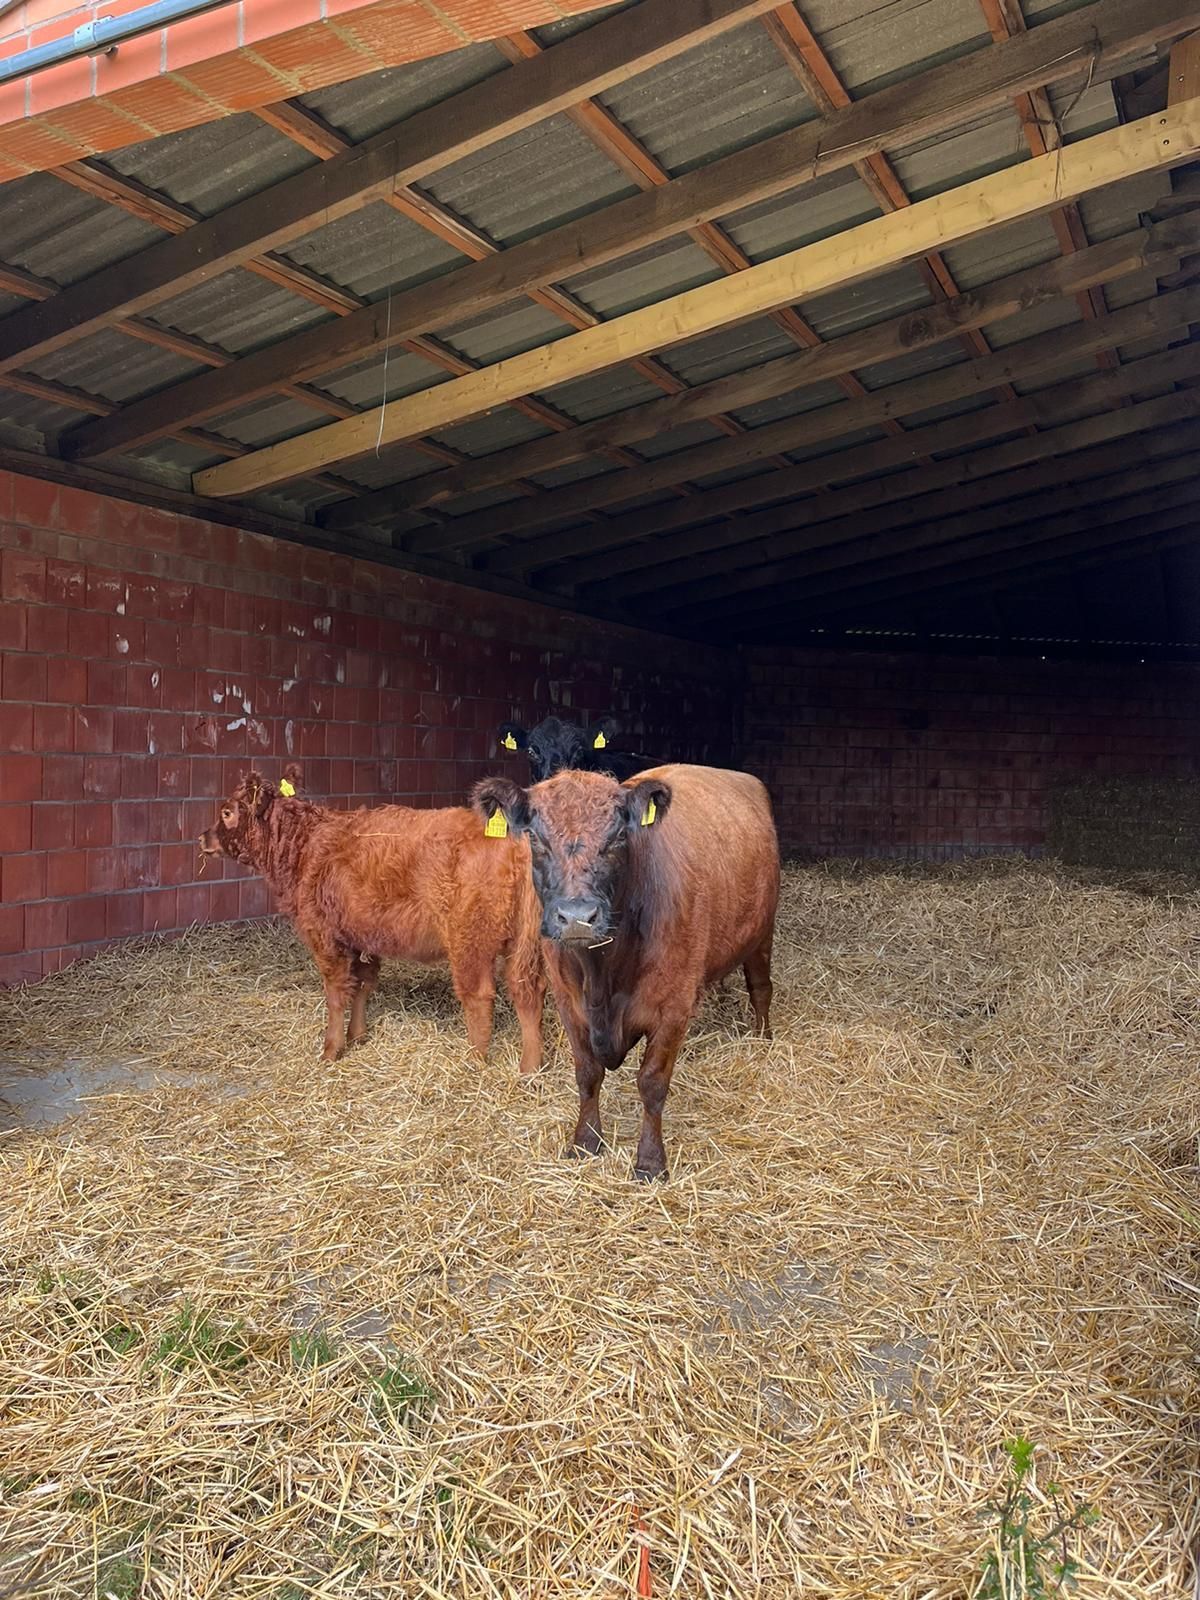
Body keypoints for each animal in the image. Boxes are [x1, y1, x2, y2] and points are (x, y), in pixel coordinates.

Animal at [199, 764, 545, 1074]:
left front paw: (331, 1049)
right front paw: (357, 1036)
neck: (304, 845)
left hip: (470, 940)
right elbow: (363, 984)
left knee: (479, 996)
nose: (203, 838)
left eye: (227, 812)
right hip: (525, 943)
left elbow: (337, 993)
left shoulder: (325, 936)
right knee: (527, 992)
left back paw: (474, 1062)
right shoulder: (361, 936)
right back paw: (530, 1068)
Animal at [472, 764, 779, 1180]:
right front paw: (585, 1143)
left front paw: (650, 1162)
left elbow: (652, 1082)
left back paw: (762, 1039)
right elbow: (587, 1074)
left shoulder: (673, 1007)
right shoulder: (568, 1003)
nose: (577, 917)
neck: (602, 973)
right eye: (535, 837)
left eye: (618, 836)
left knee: (761, 987)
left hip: (763, 933)